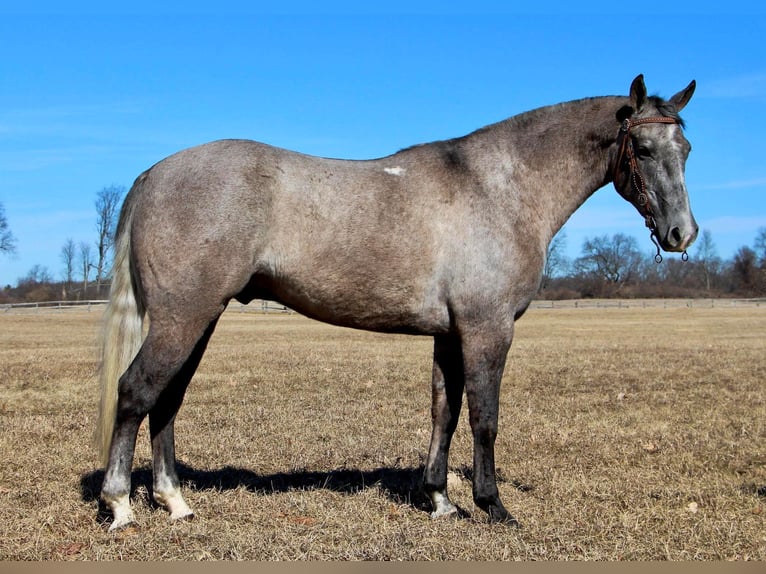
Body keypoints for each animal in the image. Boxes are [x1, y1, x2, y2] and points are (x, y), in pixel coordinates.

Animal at [94, 74, 696, 532]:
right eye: (643, 149)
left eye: (686, 151)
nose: (681, 234)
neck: (499, 187)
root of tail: (153, 174)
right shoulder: (488, 329)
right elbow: (484, 418)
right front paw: (493, 507)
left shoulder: (450, 333)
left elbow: (443, 413)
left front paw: (441, 500)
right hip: (183, 318)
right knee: (136, 392)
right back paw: (121, 504)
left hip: (200, 318)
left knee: (166, 401)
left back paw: (175, 502)